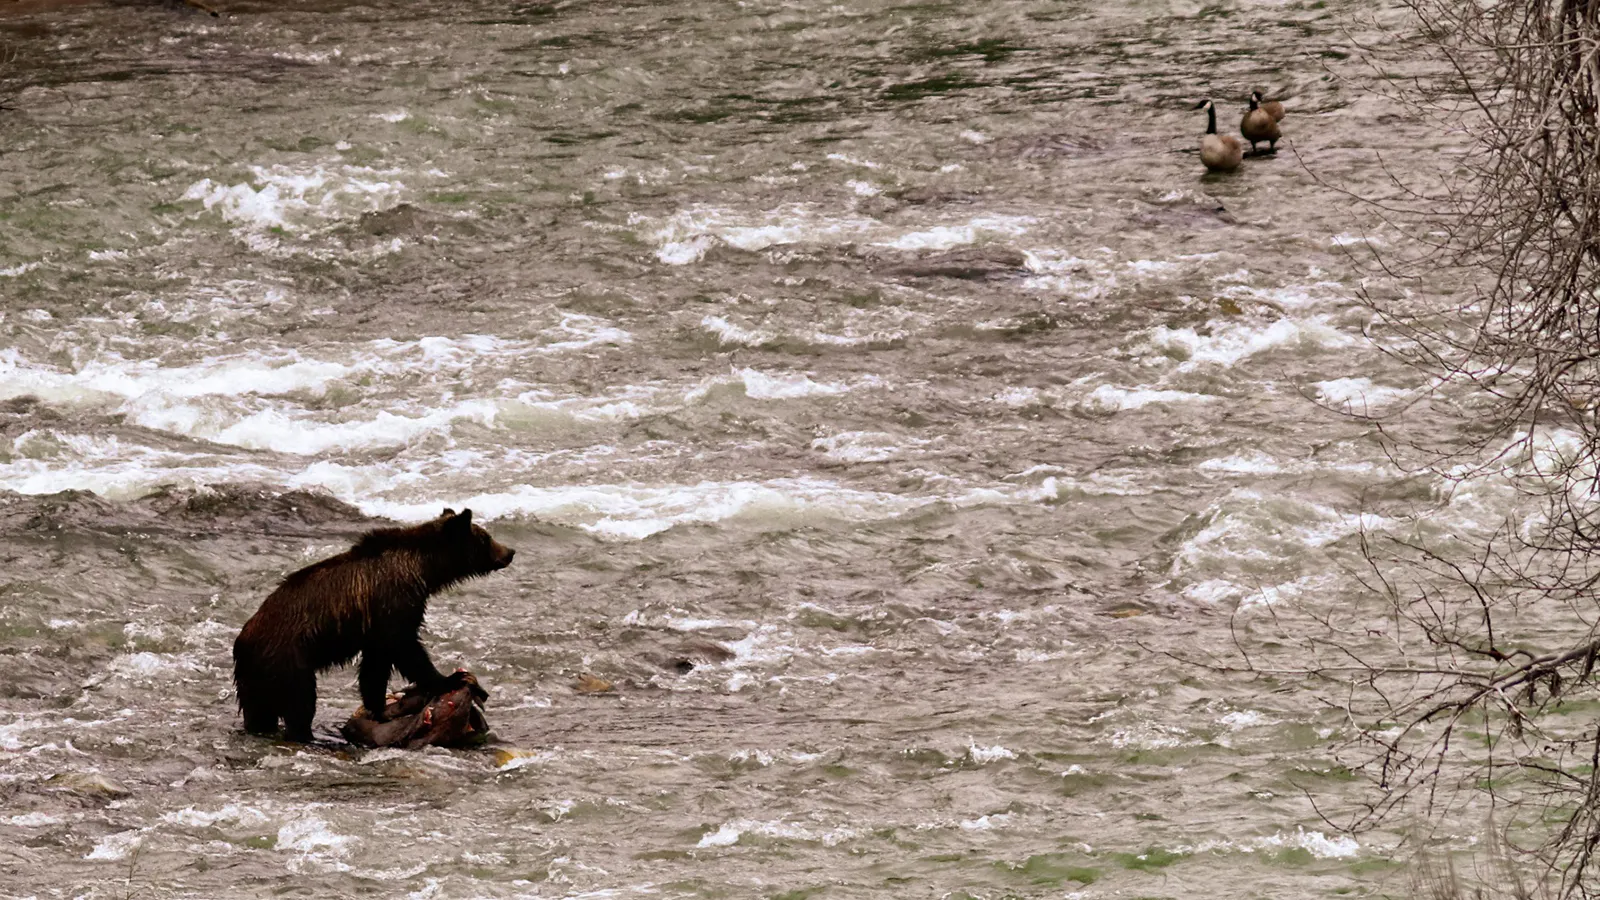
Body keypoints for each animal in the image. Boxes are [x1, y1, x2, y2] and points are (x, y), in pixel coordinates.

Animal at [232, 508, 515, 742]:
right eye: (486, 537)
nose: (510, 552)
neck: (424, 569)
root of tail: (241, 643)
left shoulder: (375, 626)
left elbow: (375, 665)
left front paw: (379, 708)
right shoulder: (394, 603)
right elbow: (405, 648)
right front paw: (450, 678)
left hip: (253, 679)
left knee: (259, 712)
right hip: (288, 661)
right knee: (300, 702)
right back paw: (308, 735)